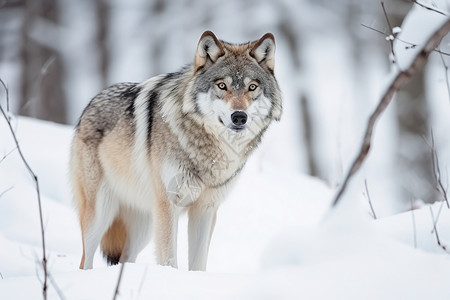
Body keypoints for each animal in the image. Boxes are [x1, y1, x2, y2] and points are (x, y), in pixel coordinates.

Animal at [70, 31, 282, 272]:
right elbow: (169, 259)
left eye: (252, 87)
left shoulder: (205, 209)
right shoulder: (168, 205)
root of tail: (90, 104)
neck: (209, 152)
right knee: (85, 260)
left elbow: (198, 263)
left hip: (144, 226)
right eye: (222, 86)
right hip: (100, 215)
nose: (239, 116)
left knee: (125, 259)